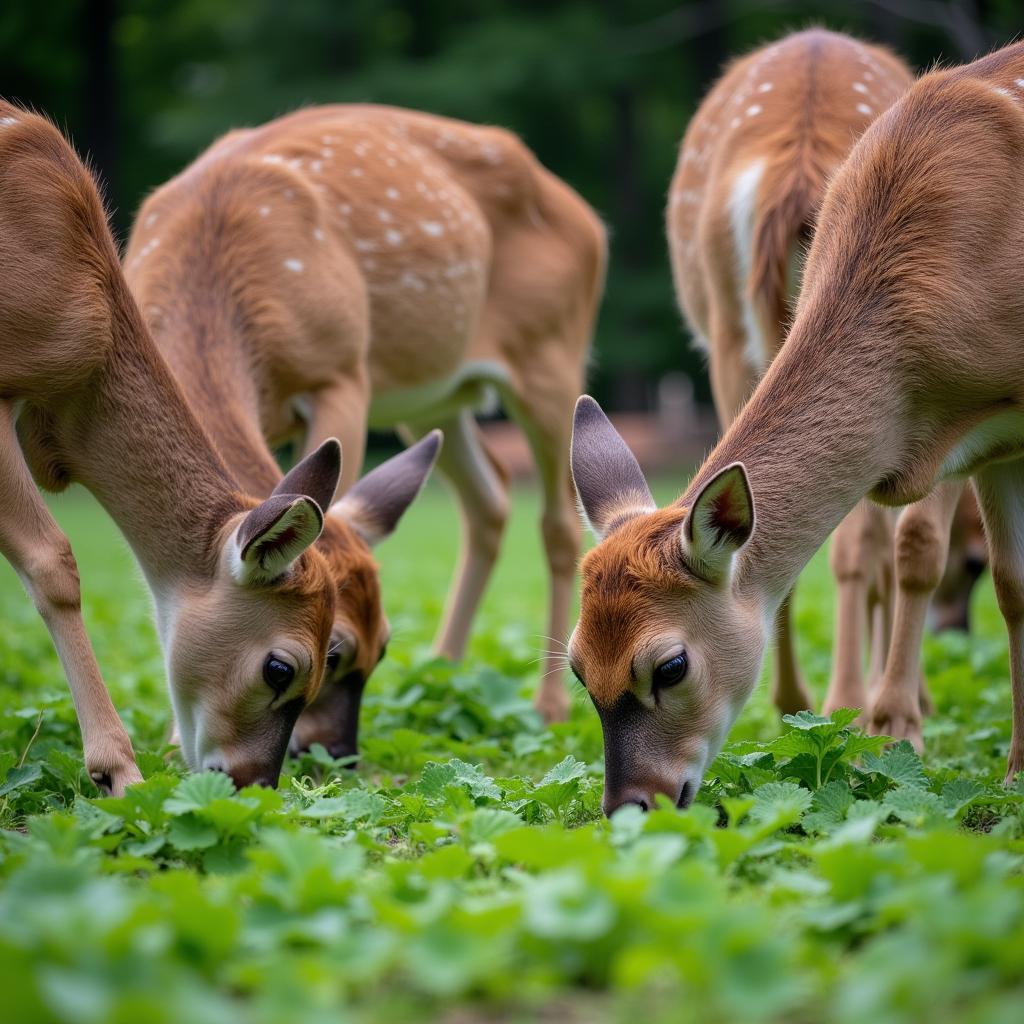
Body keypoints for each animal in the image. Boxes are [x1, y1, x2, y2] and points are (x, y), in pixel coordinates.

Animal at [126, 103, 606, 729]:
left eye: (349, 648)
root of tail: (590, 220)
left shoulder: (342, 371)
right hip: (431, 399)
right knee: (490, 495)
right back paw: (443, 672)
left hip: (552, 352)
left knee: (556, 519)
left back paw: (547, 705)